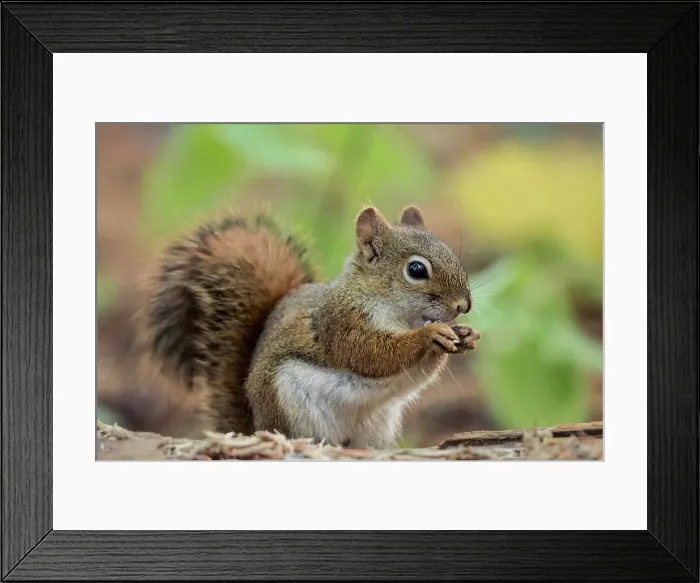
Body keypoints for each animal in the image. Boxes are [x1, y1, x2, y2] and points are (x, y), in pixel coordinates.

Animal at [134, 205, 480, 449]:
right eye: (417, 270)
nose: (463, 307)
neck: (399, 313)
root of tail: (256, 428)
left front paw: (466, 335)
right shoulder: (340, 323)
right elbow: (373, 355)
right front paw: (430, 335)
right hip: (292, 406)